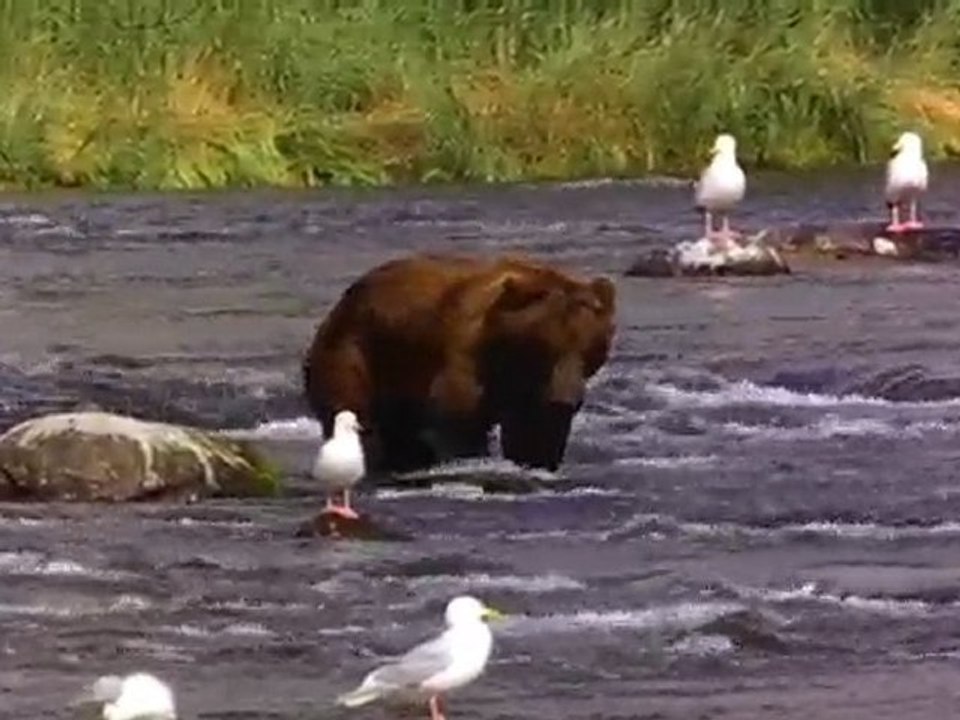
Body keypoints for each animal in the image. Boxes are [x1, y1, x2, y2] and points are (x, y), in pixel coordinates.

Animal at [301, 253, 616, 474]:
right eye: (548, 345)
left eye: (590, 348)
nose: (567, 399)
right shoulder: (464, 358)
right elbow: (460, 425)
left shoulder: (532, 393)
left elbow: (536, 432)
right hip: (356, 353)